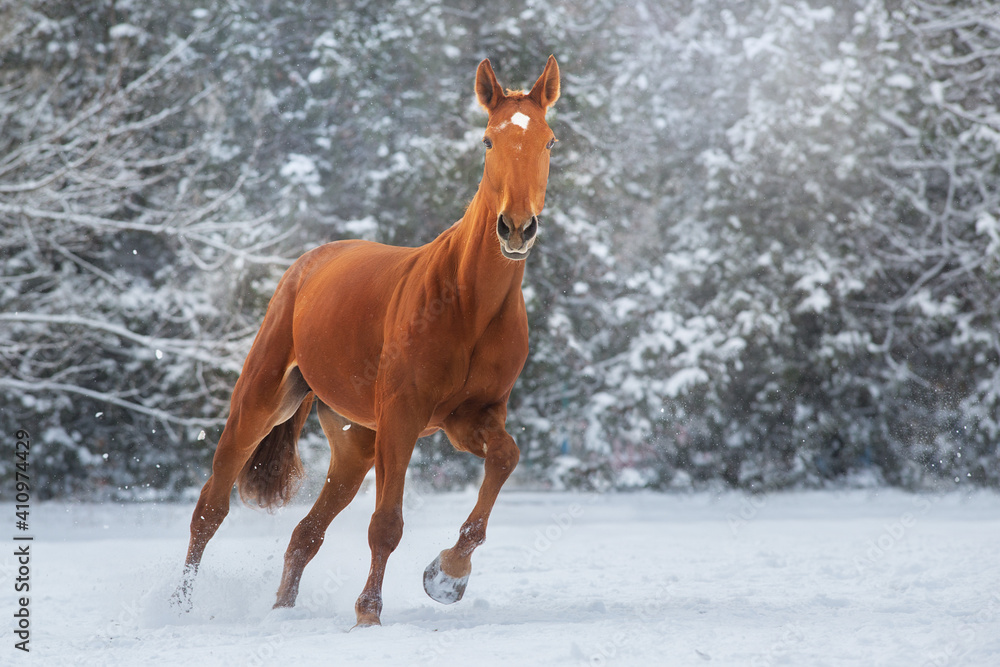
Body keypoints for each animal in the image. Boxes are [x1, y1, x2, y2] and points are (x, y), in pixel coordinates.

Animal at [174, 56, 561, 627]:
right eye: (489, 140)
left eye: (549, 140)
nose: (516, 228)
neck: (467, 302)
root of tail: (309, 263)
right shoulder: (403, 415)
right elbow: (386, 524)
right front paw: (369, 615)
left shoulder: (470, 417)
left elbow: (505, 458)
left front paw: (448, 574)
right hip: (260, 403)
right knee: (210, 509)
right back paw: (178, 606)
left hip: (354, 444)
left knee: (305, 534)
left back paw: (282, 610)